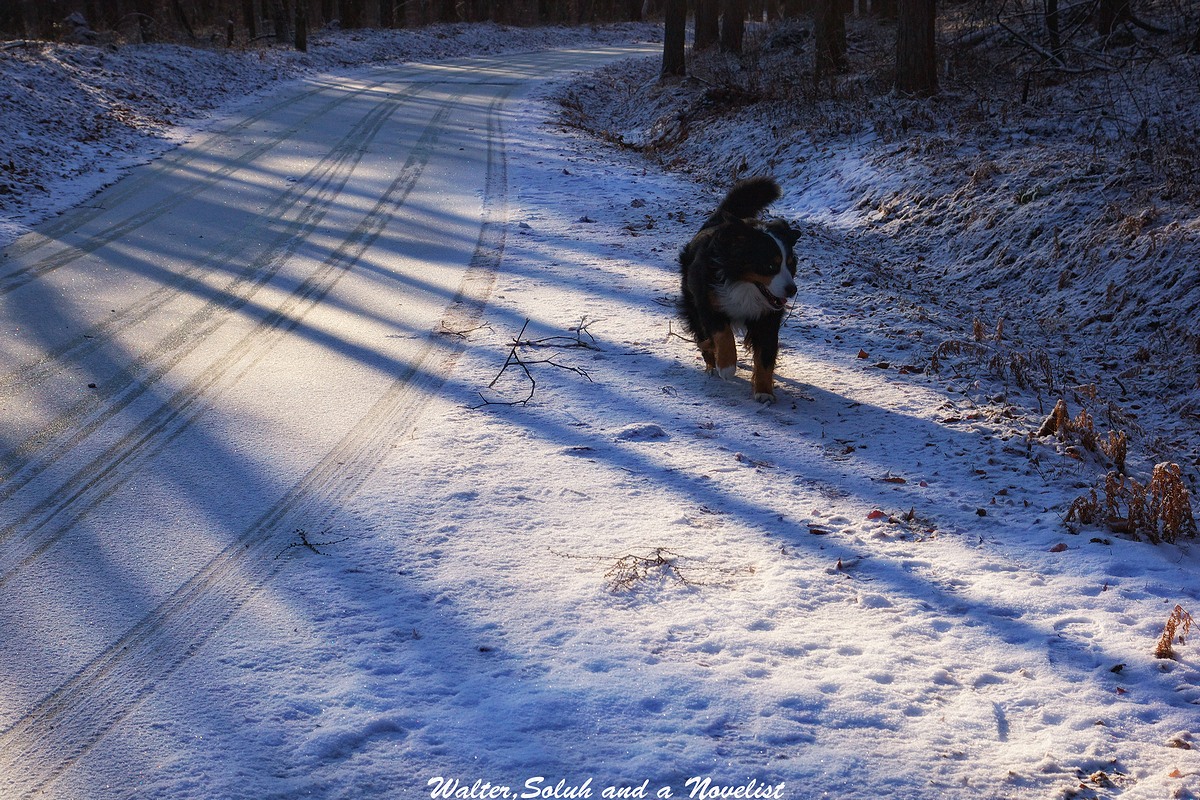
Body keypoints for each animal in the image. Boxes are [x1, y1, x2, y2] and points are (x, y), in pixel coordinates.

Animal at [681, 175, 801, 400]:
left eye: (790, 264)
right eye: (770, 266)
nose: (792, 290)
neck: (743, 285)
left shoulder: (768, 317)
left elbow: (765, 353)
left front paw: (764, 391)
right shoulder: (708, 301)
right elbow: (723, 333)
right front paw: (727, 366)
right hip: (691, 302)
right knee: (702, 335)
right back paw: (711, 362)